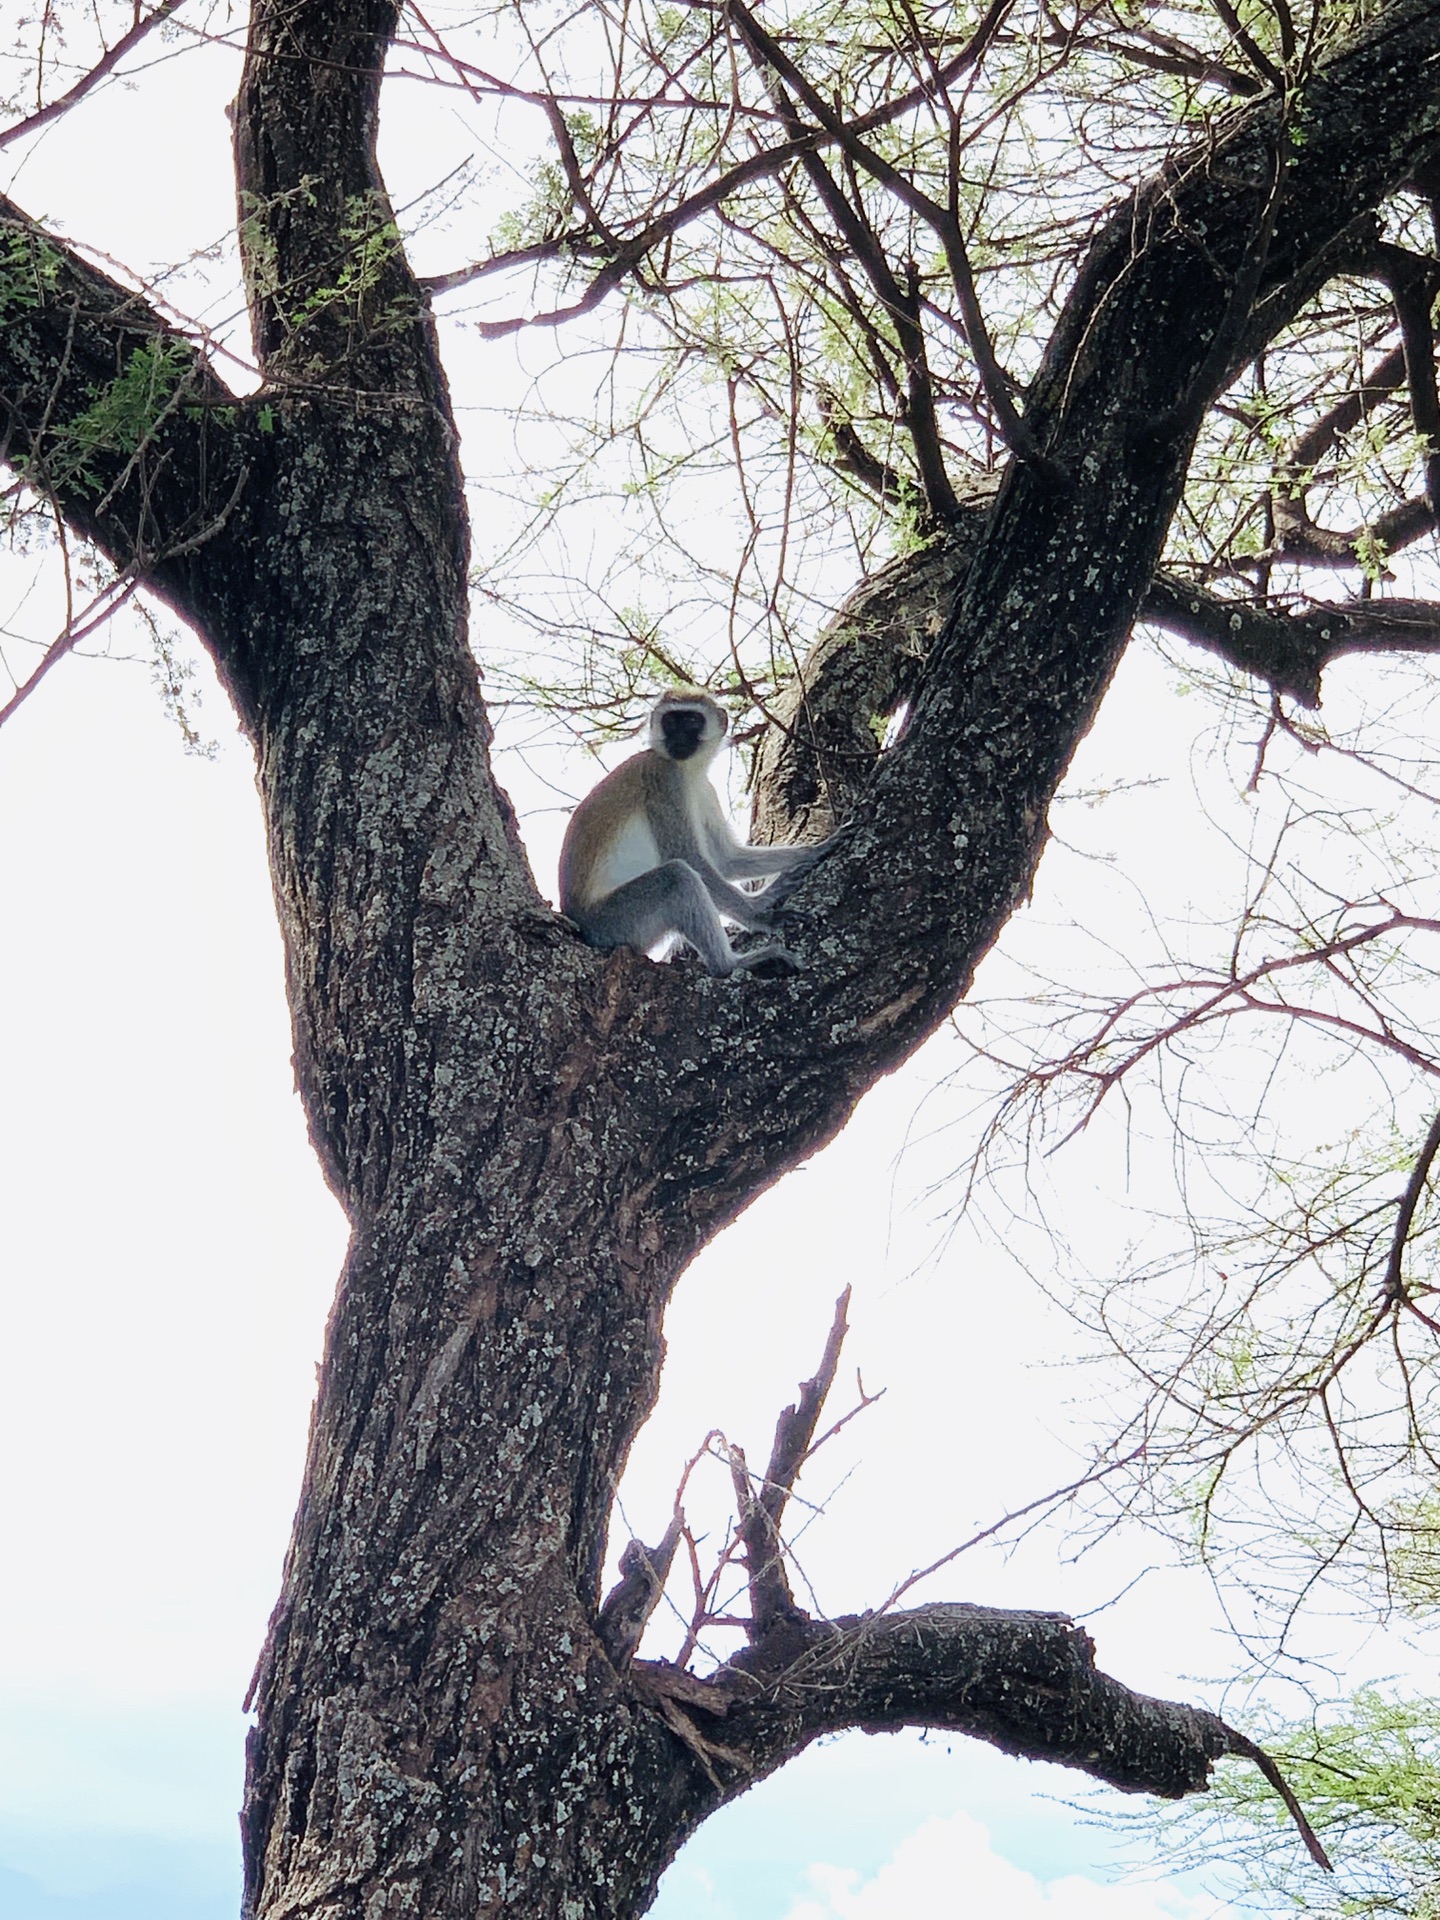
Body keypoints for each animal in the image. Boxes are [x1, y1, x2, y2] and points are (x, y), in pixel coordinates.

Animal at [564, 691, 833, 975]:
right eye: (671, 721)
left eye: (692, 721)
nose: (678, 738)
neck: (688, 770)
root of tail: (582, 925)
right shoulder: (664, 778)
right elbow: (689, 857)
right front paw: (759, 913)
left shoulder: (706, 789)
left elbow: (727, 860)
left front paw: (817, 850)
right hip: (612, 923)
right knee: (677, 877)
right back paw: (729, 964)